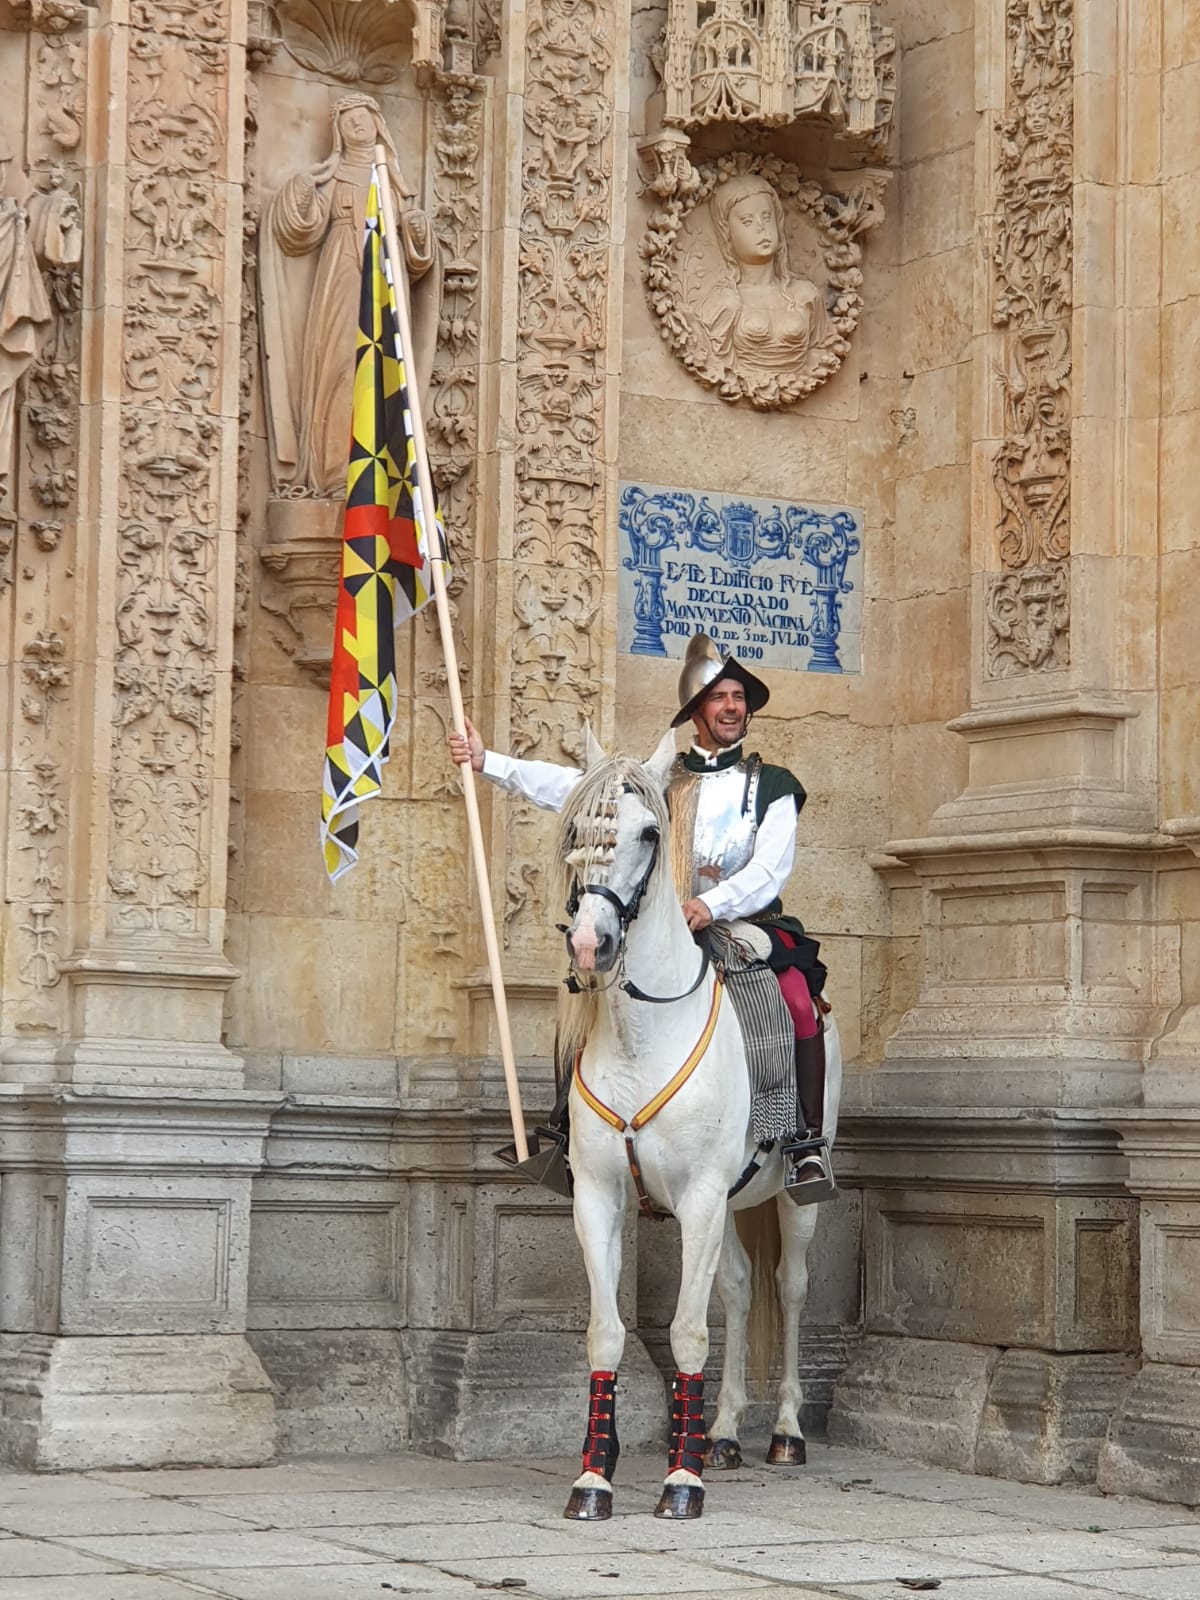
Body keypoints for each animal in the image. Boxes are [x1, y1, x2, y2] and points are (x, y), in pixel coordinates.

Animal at [556, 732, 844, 1516]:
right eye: (574, 827)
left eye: (649, 834)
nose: (590, 945)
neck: (642, 1036)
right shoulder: (601, 1197)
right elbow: (605, 1334)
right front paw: (593, 1478)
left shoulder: (702, 1196)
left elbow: (687, 1331)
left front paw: (679, 1482)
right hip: (732, 1204)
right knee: (741, 1289)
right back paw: (720, 1433)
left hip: (786, 1198)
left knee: (792, 1286)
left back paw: (783, 1432)